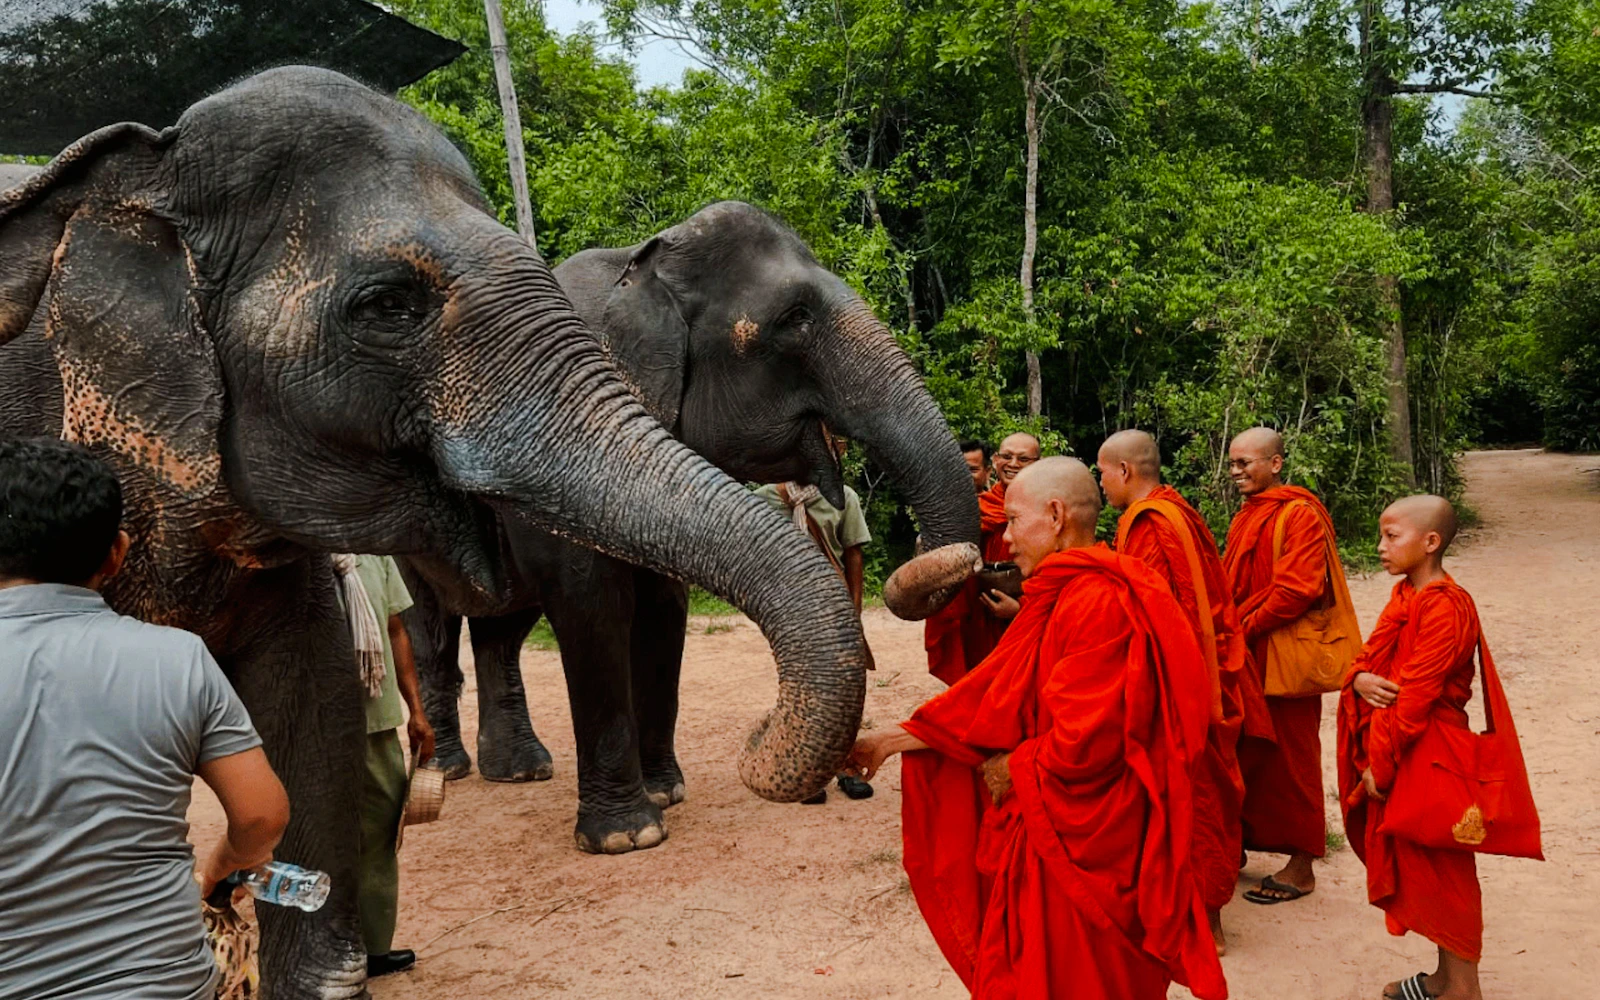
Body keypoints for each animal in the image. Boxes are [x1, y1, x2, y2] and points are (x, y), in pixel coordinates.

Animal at [401, 200, 984, 854]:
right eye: (795, 318)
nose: (759, 729)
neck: (642, 262)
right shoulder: (545, 444)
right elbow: (590, 604)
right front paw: (626, 838)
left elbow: (664, 607)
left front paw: (665, 795)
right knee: (430, 628)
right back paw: (449, 769)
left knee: (502, 628)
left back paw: (521, 771)